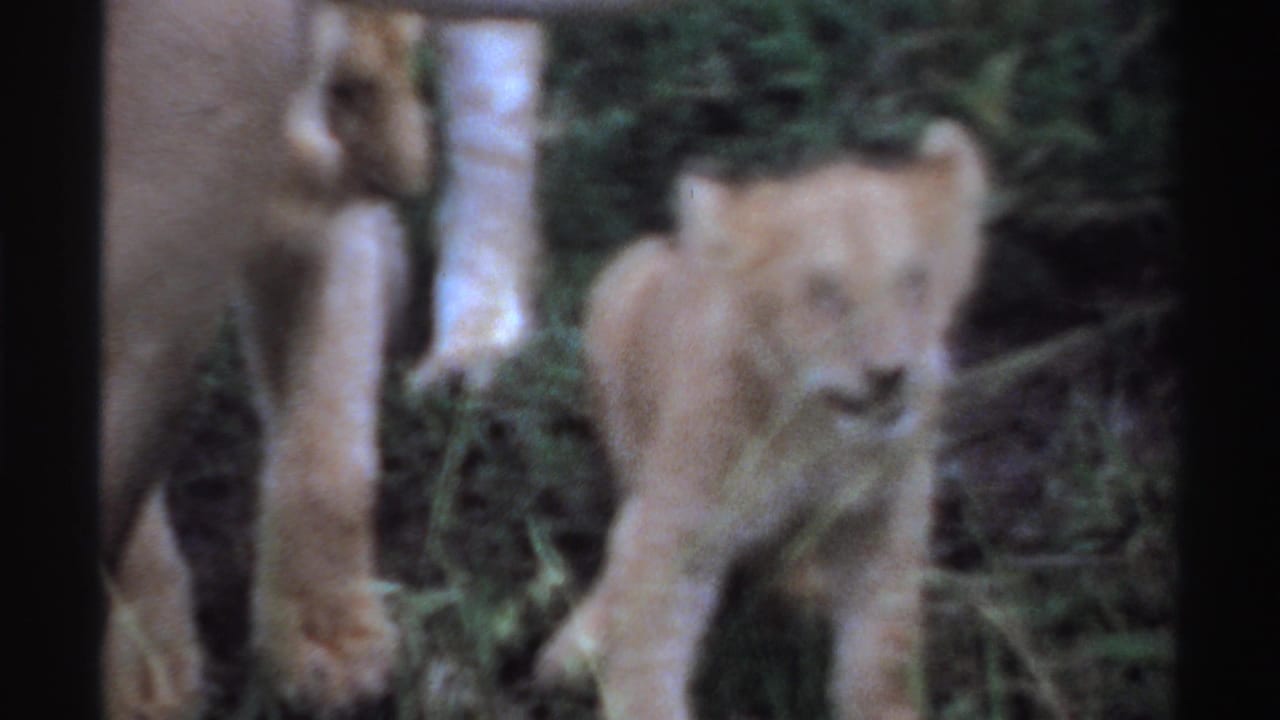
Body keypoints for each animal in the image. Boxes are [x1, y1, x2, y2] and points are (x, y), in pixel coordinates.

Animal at [535, 120, 990, 720]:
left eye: (914, 279)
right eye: (824, 292)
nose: (891, 374)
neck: (814, 433)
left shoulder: (887, 513)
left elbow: (880, 650)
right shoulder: (680, 525)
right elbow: (649, 648)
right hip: (623, 280)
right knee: (626, 534)